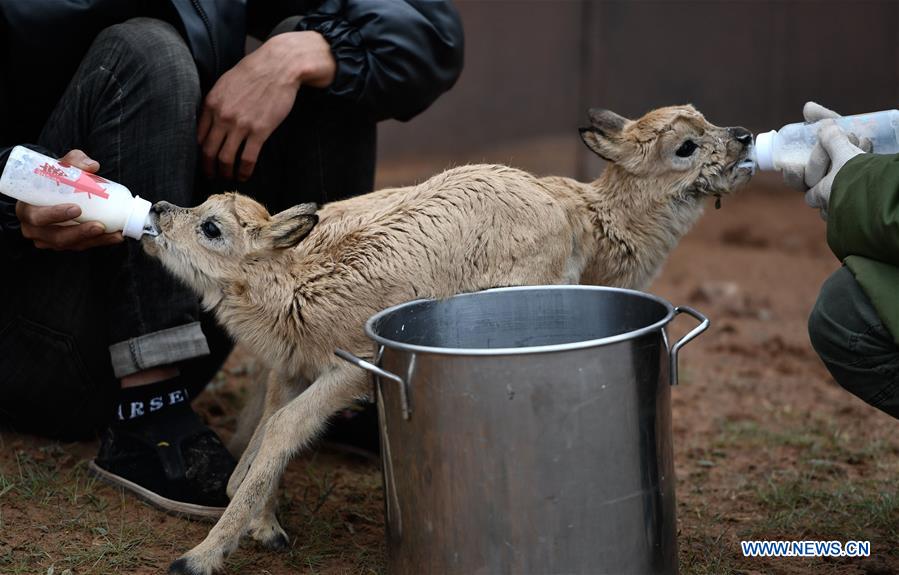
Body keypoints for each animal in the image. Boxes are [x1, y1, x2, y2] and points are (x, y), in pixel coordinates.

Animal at [151, 104, 756, 575]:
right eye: (685, 147)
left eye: (703, 126)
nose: (745, 137)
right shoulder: (342, 364)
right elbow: (281, 427)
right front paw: (202, 554)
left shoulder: (315, 365)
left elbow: (276, 428)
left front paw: (236, 527)